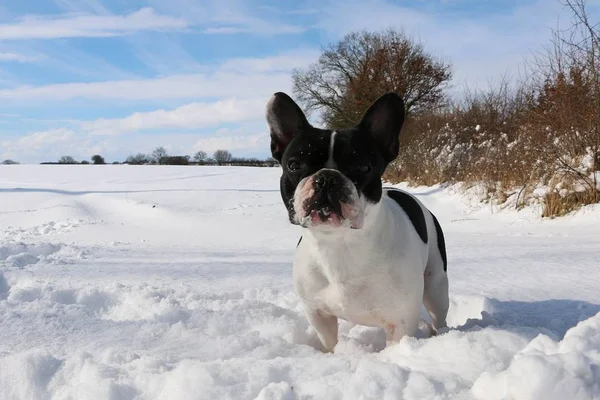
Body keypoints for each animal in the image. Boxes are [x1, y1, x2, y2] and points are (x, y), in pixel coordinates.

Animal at [264, 91, 448, 354]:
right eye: (294, 165)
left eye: (363, 167)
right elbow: (329, 341)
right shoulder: (318, 313)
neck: (340, 244)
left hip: (436, 286)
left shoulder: (401, 322)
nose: (327, 177)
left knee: (439, 315)